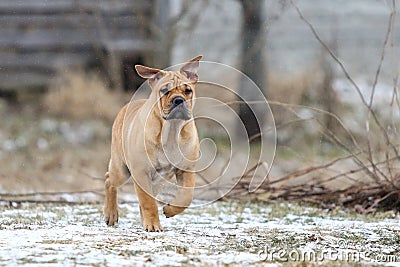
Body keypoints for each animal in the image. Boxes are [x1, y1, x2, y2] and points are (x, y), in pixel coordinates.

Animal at [104, 55, 202, 231]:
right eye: (164, 90)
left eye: (187, 91)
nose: (178, 100)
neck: (171, 131)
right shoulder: (141, 172)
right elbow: (148, 202)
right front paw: (153, 225)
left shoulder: (186, 169)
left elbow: (186, 196)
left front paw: (169, 210)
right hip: (121, 170)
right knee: (109, 180)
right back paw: (111, 214)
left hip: (158, 181)